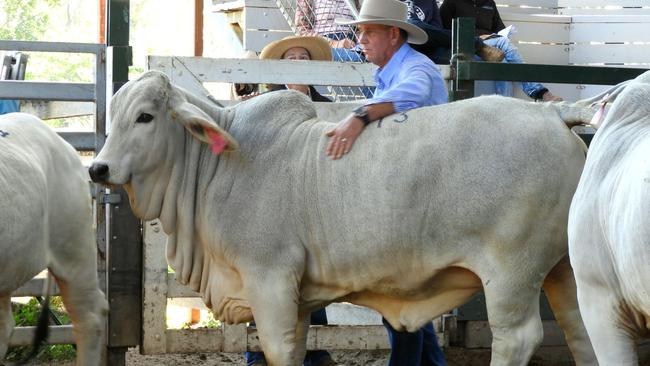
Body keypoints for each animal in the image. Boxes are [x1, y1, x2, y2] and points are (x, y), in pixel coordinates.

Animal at [88, 71, 596, 366]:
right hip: (565, 270)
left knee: (518, 338)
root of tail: (553, 113)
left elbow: (277, 348)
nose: (98, 169)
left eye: (146, 117)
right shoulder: (295, 299)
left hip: (512, 273)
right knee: (583, 331)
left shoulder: (269, 279)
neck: (219, 164)